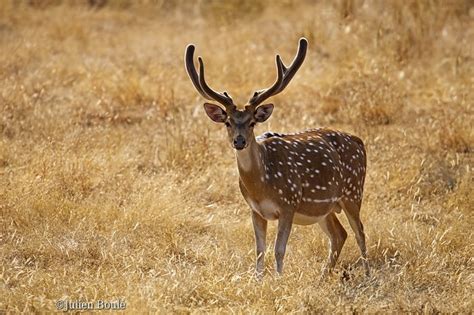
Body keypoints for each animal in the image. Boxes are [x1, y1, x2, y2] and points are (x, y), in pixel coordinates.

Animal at [185, 38, 370, 278]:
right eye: (227, 122)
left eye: (252, 122)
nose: (239, 141)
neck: (261, 185)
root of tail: (359, 141)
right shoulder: (255, 210)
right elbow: (259, 250)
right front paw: (258, 280)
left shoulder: (288, 204)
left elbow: (279, 249)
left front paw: (279, 279)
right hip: (325, 208)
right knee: (339, 234)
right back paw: (322, 277)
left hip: (353, 192)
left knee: (360, 231)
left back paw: (367, 275)